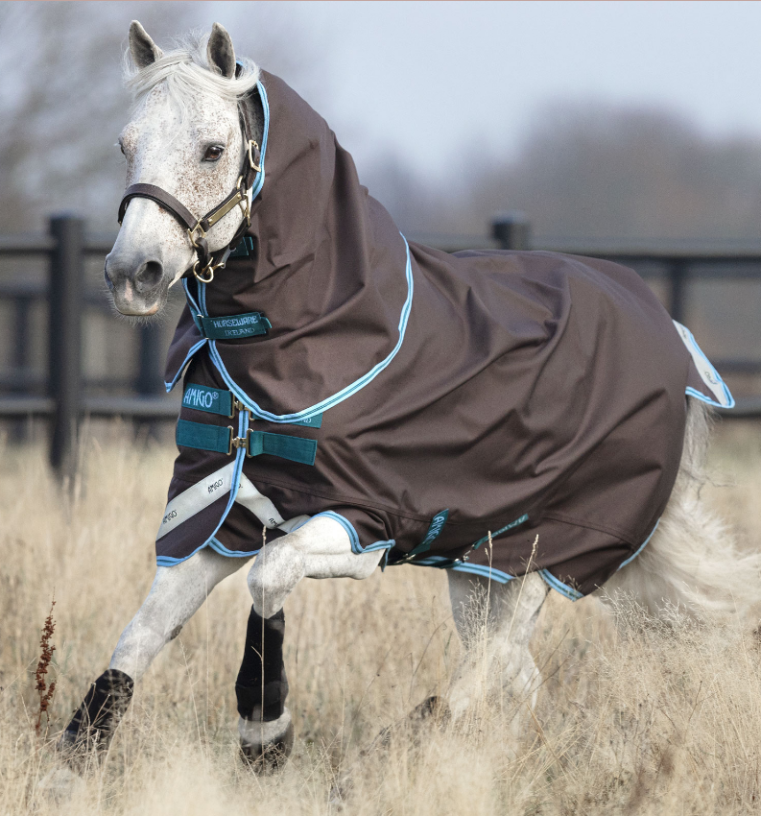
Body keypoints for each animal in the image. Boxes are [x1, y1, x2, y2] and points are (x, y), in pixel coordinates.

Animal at [49, 20, 761, 787]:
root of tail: (671, 334)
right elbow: (141, 635)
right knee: (516, 675)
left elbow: (269, 578)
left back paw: (411, 745)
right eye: (126, 145)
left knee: (486, 671)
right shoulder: (216, 518)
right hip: (484, 567)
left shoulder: (362, 523)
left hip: (544, 556)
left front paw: (266, 736)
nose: (132, 274)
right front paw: (73, 764)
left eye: (212, 148)